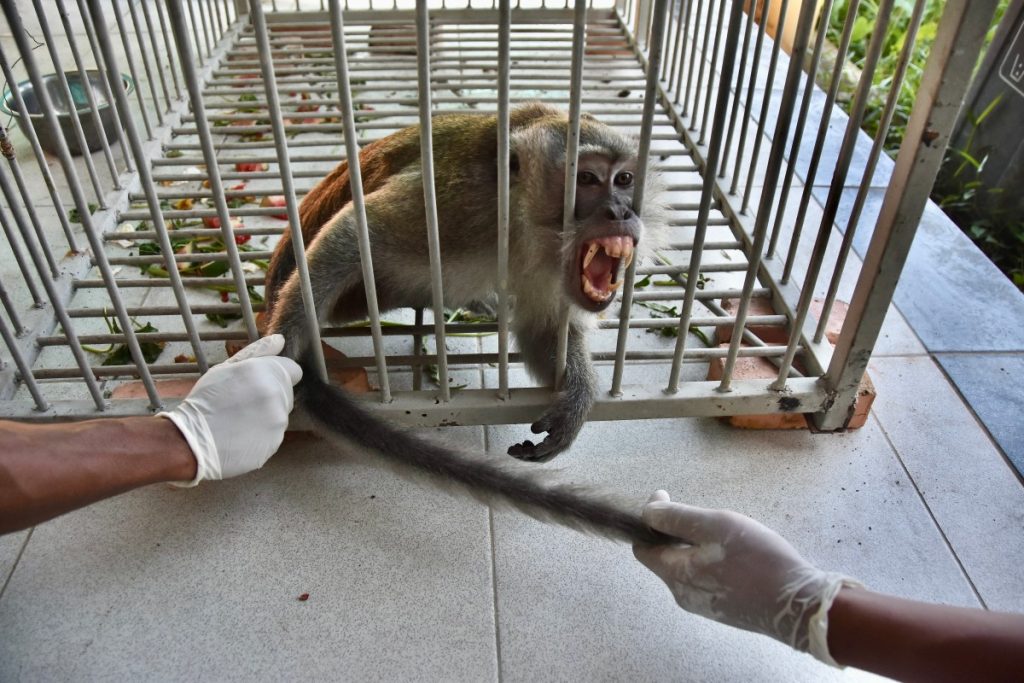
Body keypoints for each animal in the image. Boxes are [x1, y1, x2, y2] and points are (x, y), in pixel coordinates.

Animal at [264, 103, 674, 545]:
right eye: (587, 178)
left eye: (624, 179)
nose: (621, 211)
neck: (520, 227)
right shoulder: (459, 207)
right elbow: (360, 228)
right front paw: (281, 345)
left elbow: (544, 331)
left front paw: (578, 394)